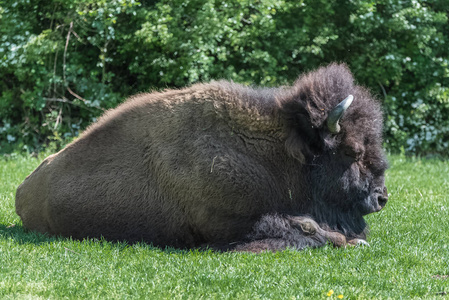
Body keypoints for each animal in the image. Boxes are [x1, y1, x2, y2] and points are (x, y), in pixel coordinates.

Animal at [15, 63, 386, 251]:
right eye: (352, 151)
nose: (381, 197)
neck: (275, 152)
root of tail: (22, 189)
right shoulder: (228, 221)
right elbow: (300, 227)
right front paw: (347, 241)